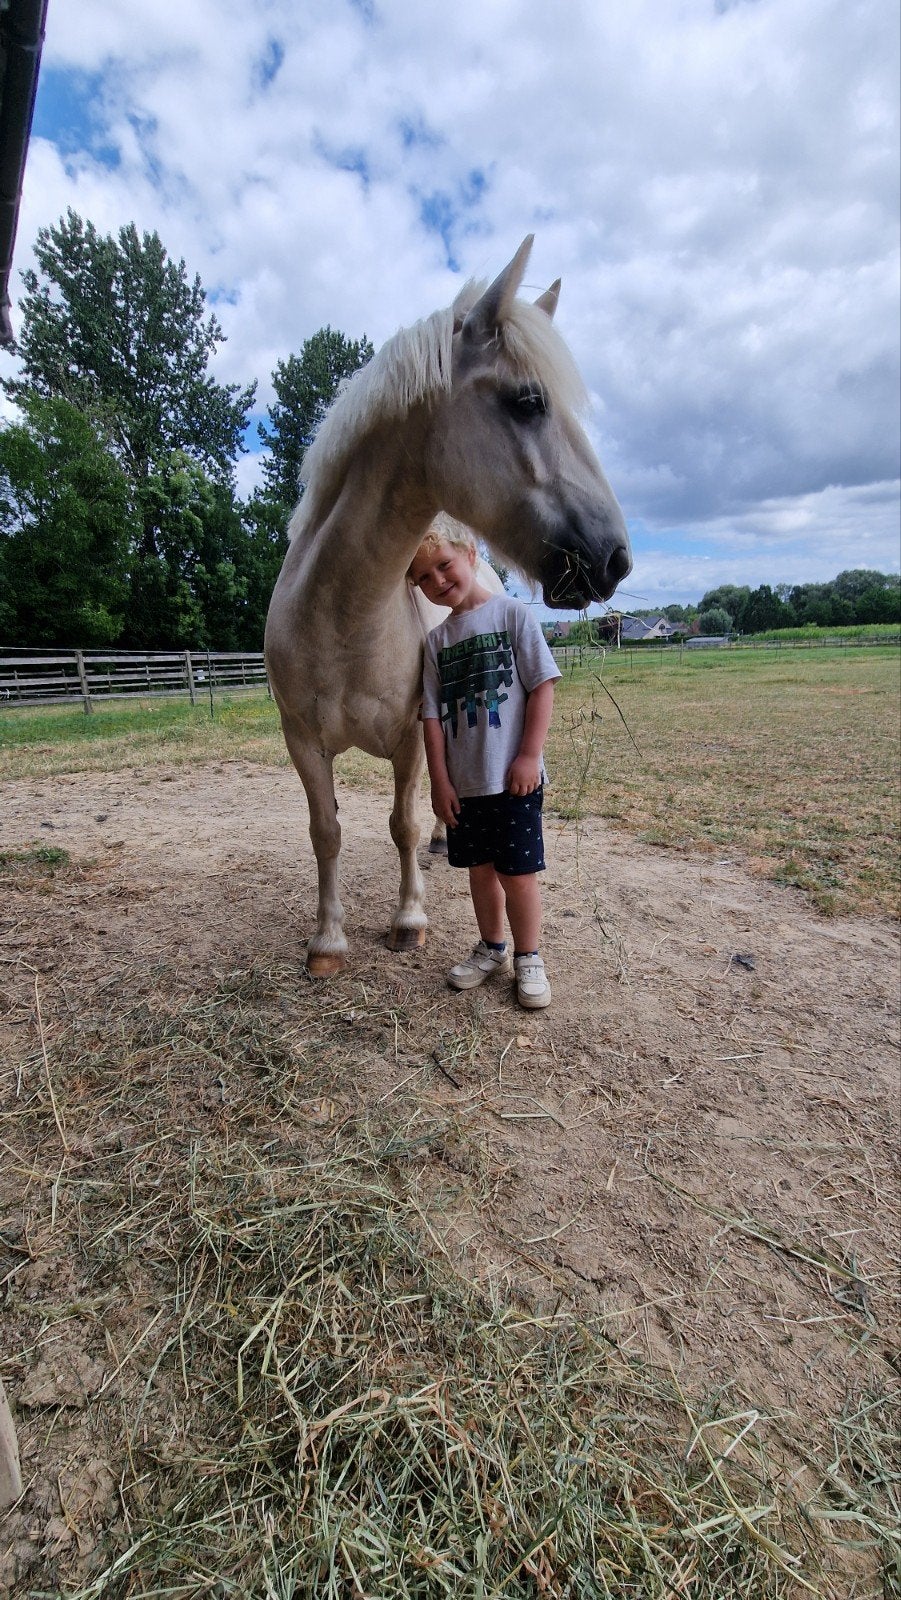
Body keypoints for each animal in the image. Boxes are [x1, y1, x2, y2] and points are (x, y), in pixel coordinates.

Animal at [264, 235, 632, 976]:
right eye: (527, 401)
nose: (614, 557)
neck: (343, 617)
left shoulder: (411, 734)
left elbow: (402, 824)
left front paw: (408, 920)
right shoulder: (302, 742)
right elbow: (326, 832)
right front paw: (327, 941)